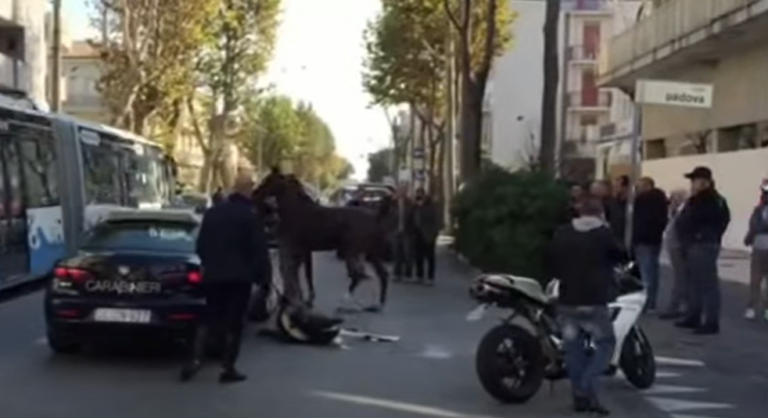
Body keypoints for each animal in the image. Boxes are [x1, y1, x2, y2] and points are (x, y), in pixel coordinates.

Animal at [254, 169, 390, 310]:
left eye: (268, 180)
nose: (255, 193)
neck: (297, 211)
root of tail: (376, 217)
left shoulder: (295, 249)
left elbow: (296, 273)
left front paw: (303, 300)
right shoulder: (303, 250)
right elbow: (302, 273)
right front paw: (306, 300)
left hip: (352, 251)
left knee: (357, 275)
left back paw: (344, 302)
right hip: (371, 253)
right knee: (381, 274)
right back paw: (377, 304)